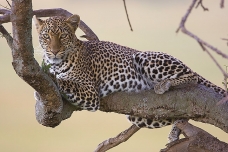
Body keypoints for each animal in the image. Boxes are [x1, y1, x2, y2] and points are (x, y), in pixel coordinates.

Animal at [33, 13, 226, 142]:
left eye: (63, 36)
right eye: (46, 36)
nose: (54, 51)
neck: (57, 62)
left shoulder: (91, 93)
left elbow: (66, 81)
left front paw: (52, 77)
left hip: (144, 56)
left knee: (192, 77)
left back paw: (164, 85)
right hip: (141, 116)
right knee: (181, 113)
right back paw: (174, 132)